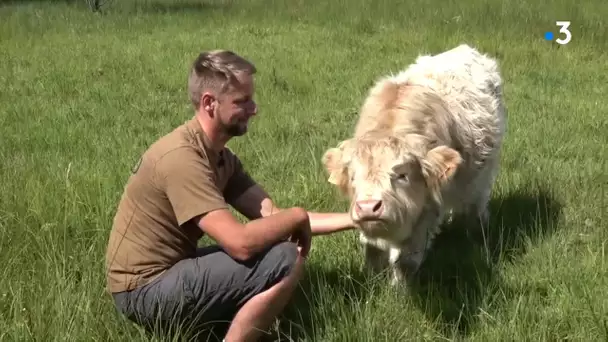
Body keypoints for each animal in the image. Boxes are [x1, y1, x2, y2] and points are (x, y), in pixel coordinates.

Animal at [320, 45, 506, 286]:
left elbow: (406, 261)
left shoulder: (427, 213)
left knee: (476, 202)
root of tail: (466, 49)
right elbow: (372, 252)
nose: (369, 207)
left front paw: (398, 289)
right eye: (353, 177)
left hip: (484, 174)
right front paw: (373, 281)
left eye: (402, 175)